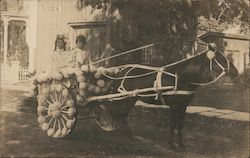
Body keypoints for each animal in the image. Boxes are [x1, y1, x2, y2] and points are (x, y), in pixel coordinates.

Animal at [89, 43, 237, 150]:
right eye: (221, 58)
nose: (235, 72)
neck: (182, 77)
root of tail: (122, 71)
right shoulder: (174, 106)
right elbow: (172, 125)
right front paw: (172, 145)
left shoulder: (183, 106)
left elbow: (179, 125)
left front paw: (180, 145)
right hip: (126, 98)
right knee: (119, 113)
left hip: (130, 98)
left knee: (121, 114)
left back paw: (125, 134)